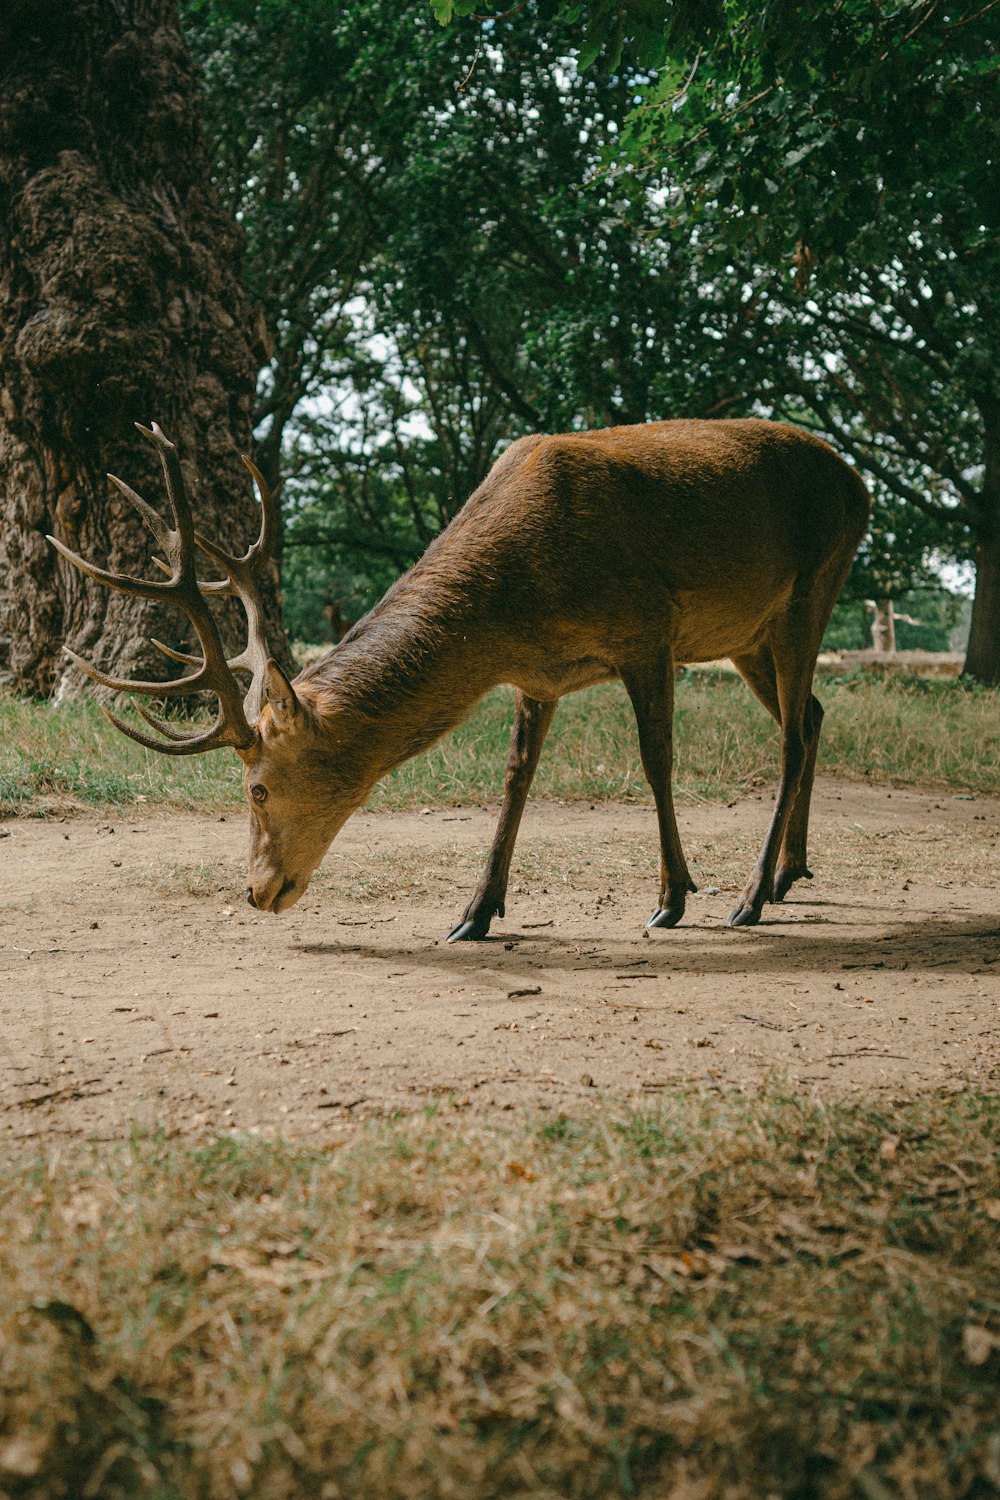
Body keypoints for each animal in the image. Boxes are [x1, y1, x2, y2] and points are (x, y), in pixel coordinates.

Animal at [50, 417, 869, 936]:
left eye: (255, 788)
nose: (256, 892)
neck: (516, 599)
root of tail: (860, 482)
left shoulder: (648, 629)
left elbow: (656, 761)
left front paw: (673, 897)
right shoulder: (540, 674)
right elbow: (515, 778)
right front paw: (475, 913)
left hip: (813, 587)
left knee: (792, 738)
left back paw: (751, 895)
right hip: (750, 636)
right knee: (815, 713)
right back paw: (790, 872)